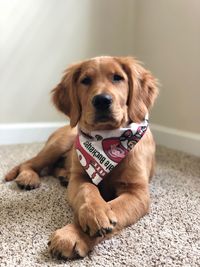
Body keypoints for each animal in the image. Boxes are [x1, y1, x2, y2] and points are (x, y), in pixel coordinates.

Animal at [5, 56, 158, 260]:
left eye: (118, 77)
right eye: (85, 80)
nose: (102, 100)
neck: (109, 138)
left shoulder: (137, 192)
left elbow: (116, 207)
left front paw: (72, 235)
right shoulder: (81, 177)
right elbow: (88, 190)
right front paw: (96, 213)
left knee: (52, 167)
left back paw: (63, 176)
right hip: (60, 143)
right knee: (30, 163)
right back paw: (27, 178)